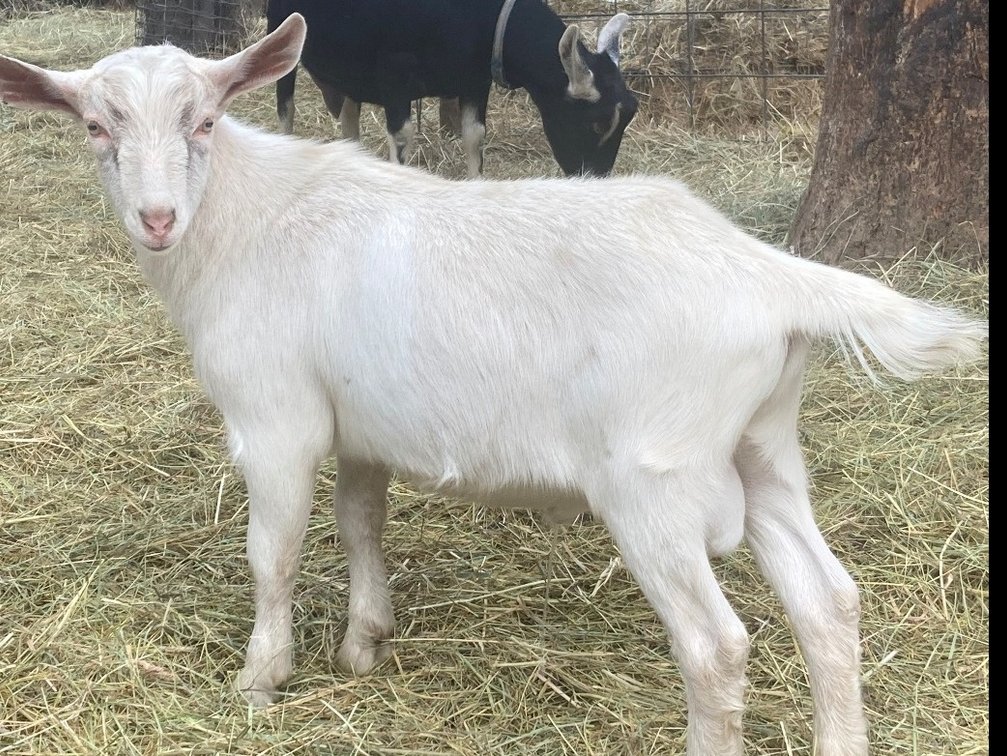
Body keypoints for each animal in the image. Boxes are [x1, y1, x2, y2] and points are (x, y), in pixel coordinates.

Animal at [266, 0, 638, 178]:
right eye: (598, 123)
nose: (596, 178)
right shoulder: (394, 77)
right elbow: (402, 136)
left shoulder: (474, 82)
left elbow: (474, 135)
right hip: (281, 29)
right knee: (286, 107)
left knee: (348, 117)